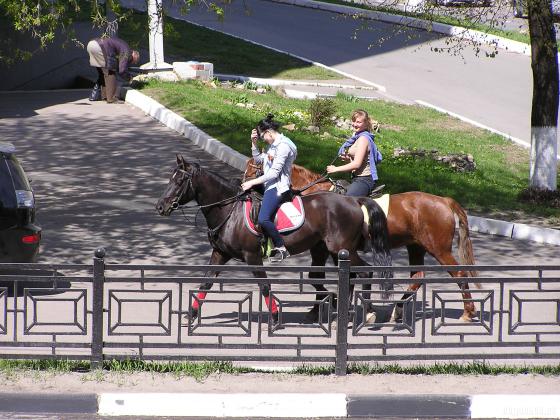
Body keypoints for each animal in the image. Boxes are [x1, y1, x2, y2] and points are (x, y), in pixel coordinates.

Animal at [156, 156, 394, 324]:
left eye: (179, 181)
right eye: (169, 179)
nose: (160, 206)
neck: (229, 211)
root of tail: (354, 200)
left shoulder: (252, 256)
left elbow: (264, 286)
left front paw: (275, 317)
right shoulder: (220, 253)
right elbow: (206, 282)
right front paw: (191, 314)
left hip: (342, 249)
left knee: (364, 272)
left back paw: (359, 314)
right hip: (325, 250)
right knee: (336, 276)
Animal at [243, 158, 480, 322]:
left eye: (253, 170)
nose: (243, 189)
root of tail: (444, 201)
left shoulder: (326, 249)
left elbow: (323, 276)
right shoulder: (327, 250)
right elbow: (319, 276)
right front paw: (320, 309)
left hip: (439, 248)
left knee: (459, 274)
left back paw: (468, 312)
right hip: (416, 246)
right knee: (417, 277)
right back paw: (398, 311)